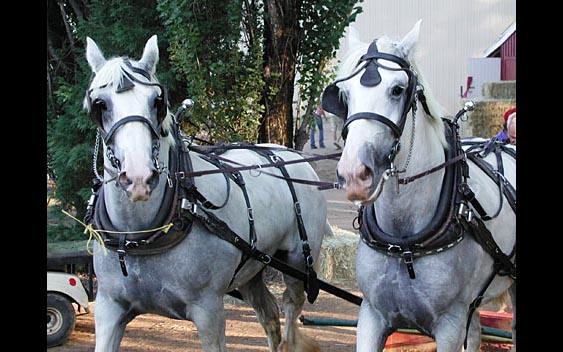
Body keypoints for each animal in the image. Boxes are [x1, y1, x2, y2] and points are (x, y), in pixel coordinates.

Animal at [85, 35, 330, 352]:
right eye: (99, 105)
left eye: (158, 102)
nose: (139, 177)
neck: (143, 235)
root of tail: (289, 154)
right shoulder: (109, 308)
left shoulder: (209, 312)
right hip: (252, 269)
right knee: (269, 315)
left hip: (298, 262)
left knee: (290, 308)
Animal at [324, 20, 516, 350]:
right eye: (345, 95)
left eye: (397, 89)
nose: (354, 174)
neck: (404, 244)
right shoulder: (371, 316)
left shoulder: (450, 325)